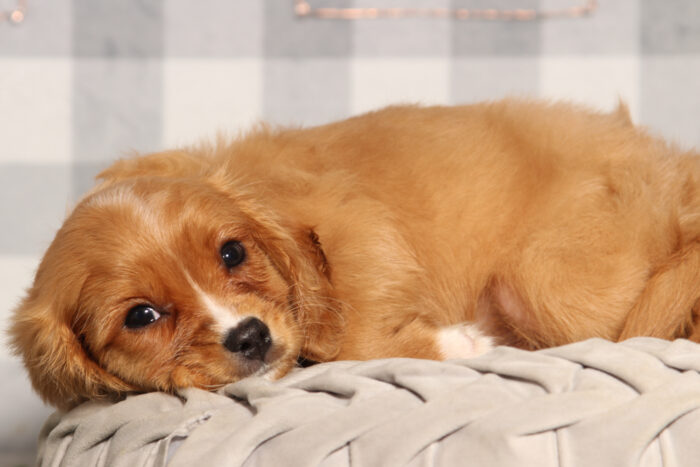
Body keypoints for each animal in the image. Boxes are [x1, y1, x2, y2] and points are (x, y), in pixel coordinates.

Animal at [9, 98, 700, 410]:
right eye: (141, 317)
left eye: (233, 253)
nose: (251, 336)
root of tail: (677, 177)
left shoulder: (358, 229)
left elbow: (352, 335)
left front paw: (458, 342)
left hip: (545, 282)